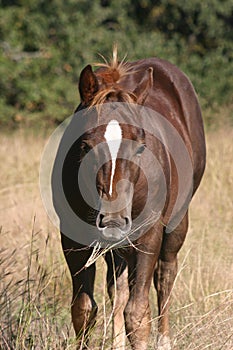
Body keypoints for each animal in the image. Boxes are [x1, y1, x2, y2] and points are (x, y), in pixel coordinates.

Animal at [52, 50, 206, 350]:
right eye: (85, 146)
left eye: (141, 147)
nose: (113, 219)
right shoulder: (73, 240)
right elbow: (83, 310)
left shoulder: (148, 237)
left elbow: (138, 313)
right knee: (118, 288)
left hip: (175, 225)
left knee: (165, 276)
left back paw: (164, 340)